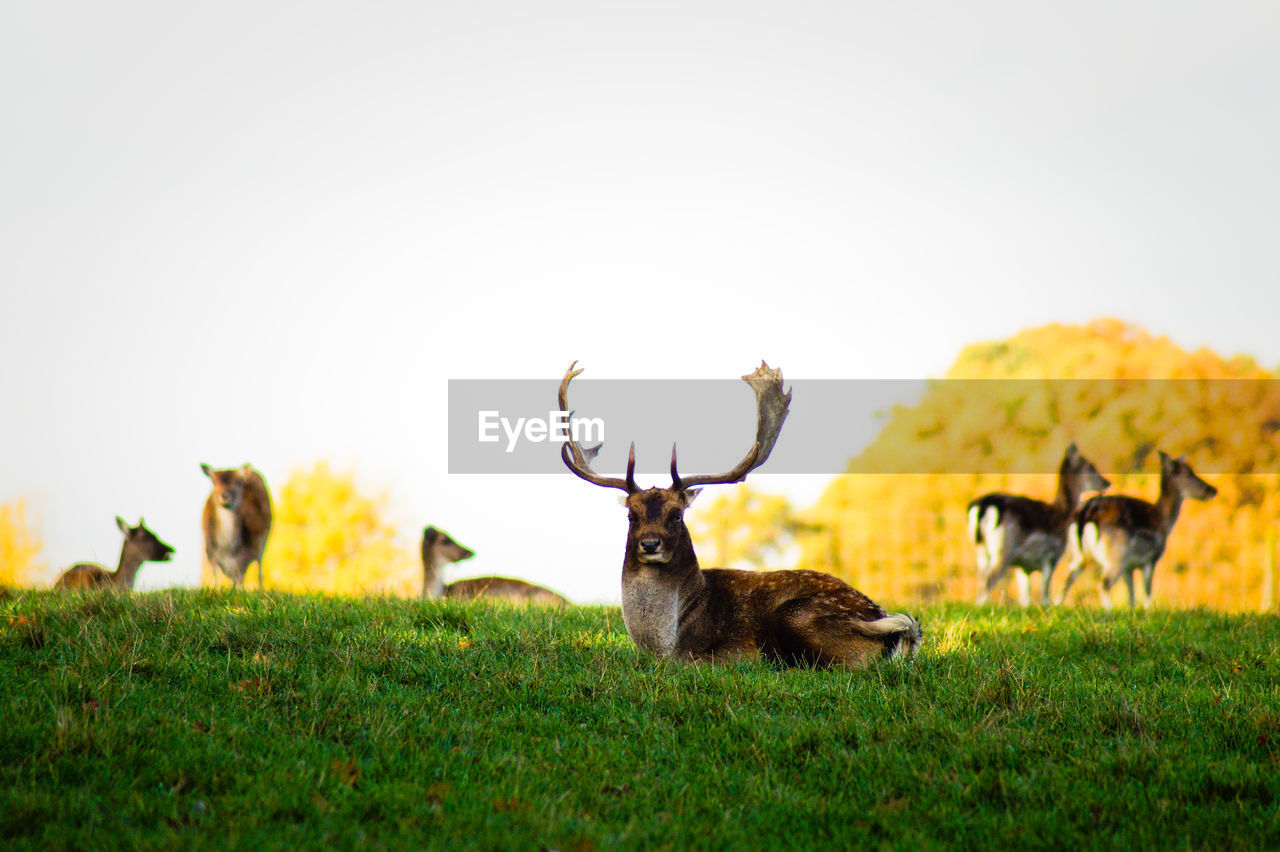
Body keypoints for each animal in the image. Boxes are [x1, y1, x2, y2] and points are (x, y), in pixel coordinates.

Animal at [199, 460, 272, 588]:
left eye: (238, 482)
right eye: (214, 481)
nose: (224, 496)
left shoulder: (244, 560)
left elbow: (241, 581)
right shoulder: (211, 554)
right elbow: (215, 577)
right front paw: (215, 590)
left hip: (263, 542)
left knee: (260, 567)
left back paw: (260, 589)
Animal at [560, 358, 921, 665]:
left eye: (676, 514)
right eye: (631, 515)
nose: (649, 544)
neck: (663, 643)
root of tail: (887, 625)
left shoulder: (727, 652)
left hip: (798, 616)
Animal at [967, 445, 1111, 603]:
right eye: (1090, 466)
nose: (1107, 482)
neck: (1063, 514)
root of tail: (983, 506)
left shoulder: (1024, 567)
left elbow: (1025, 598)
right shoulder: (1051, 555)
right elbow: (1045, 593)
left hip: (981, 550)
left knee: (981, 578)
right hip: (1004, 549)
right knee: (989, 579)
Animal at [1059, 447, 1218, 606]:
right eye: (1190, 473)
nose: (1212, 489)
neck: (1164, 521)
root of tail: (1086, 513)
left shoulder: (1129, 567)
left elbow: (1132, 596)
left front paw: (1132, 609)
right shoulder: (1150, 559)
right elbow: (1147, 593)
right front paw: (1148, 609)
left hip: (1079, 555)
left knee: (1066, 580)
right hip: (1116, 555)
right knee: (1104, 583)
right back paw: (1109, 609)